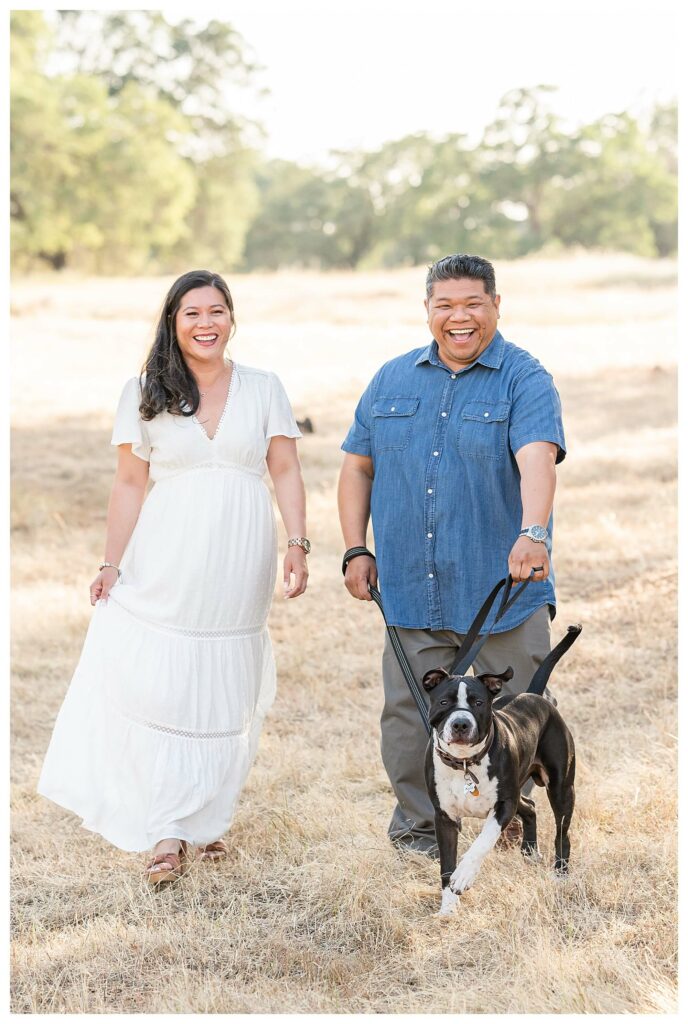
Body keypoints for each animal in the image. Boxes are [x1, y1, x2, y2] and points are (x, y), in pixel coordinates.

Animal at [421, 622, 577, 921]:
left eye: (478, 703)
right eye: (444, 702)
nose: (460, 724)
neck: (465, 763)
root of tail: (533, 694)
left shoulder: (503, 805)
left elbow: (483, 841)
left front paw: (464, 876)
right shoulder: (444, 817)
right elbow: (446, 866)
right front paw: (448, 909)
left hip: (561, 788)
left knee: (561, 832)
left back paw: (561, 875)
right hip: (521, 791)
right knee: (529, 806)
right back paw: (529, 853)